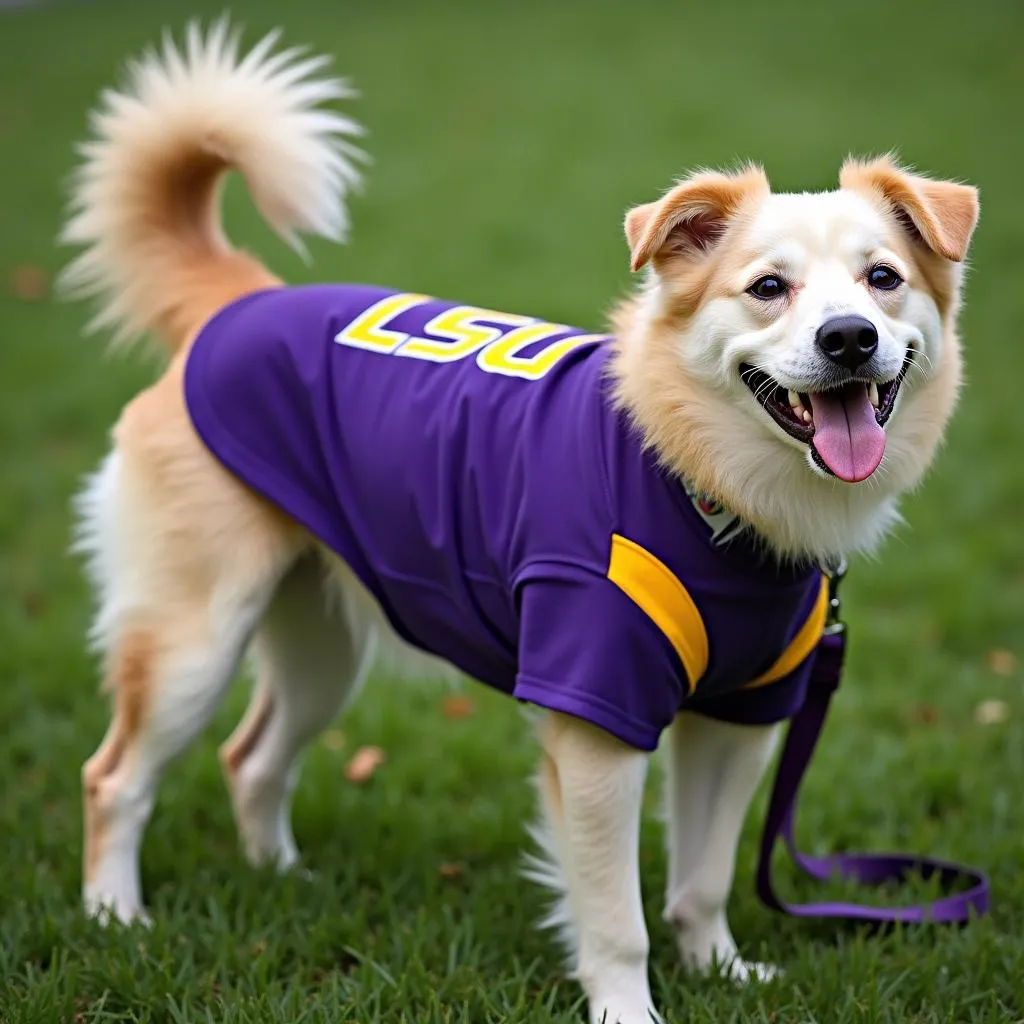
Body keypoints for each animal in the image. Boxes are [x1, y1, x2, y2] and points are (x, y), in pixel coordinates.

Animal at [59, 18, 978, 1024]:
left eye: (882, 279)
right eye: (768, 288)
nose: (849, 337)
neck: (701, 483)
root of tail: (241, 298)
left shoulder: (743, 716)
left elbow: (701, 879)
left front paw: (719, 972)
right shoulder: (597, 721)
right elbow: (616, 918)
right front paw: (629, 1010)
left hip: (319, 647)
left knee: (250, 756)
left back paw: (283, 880)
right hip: (192, 637)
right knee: (114, 778)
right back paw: (114, 918)